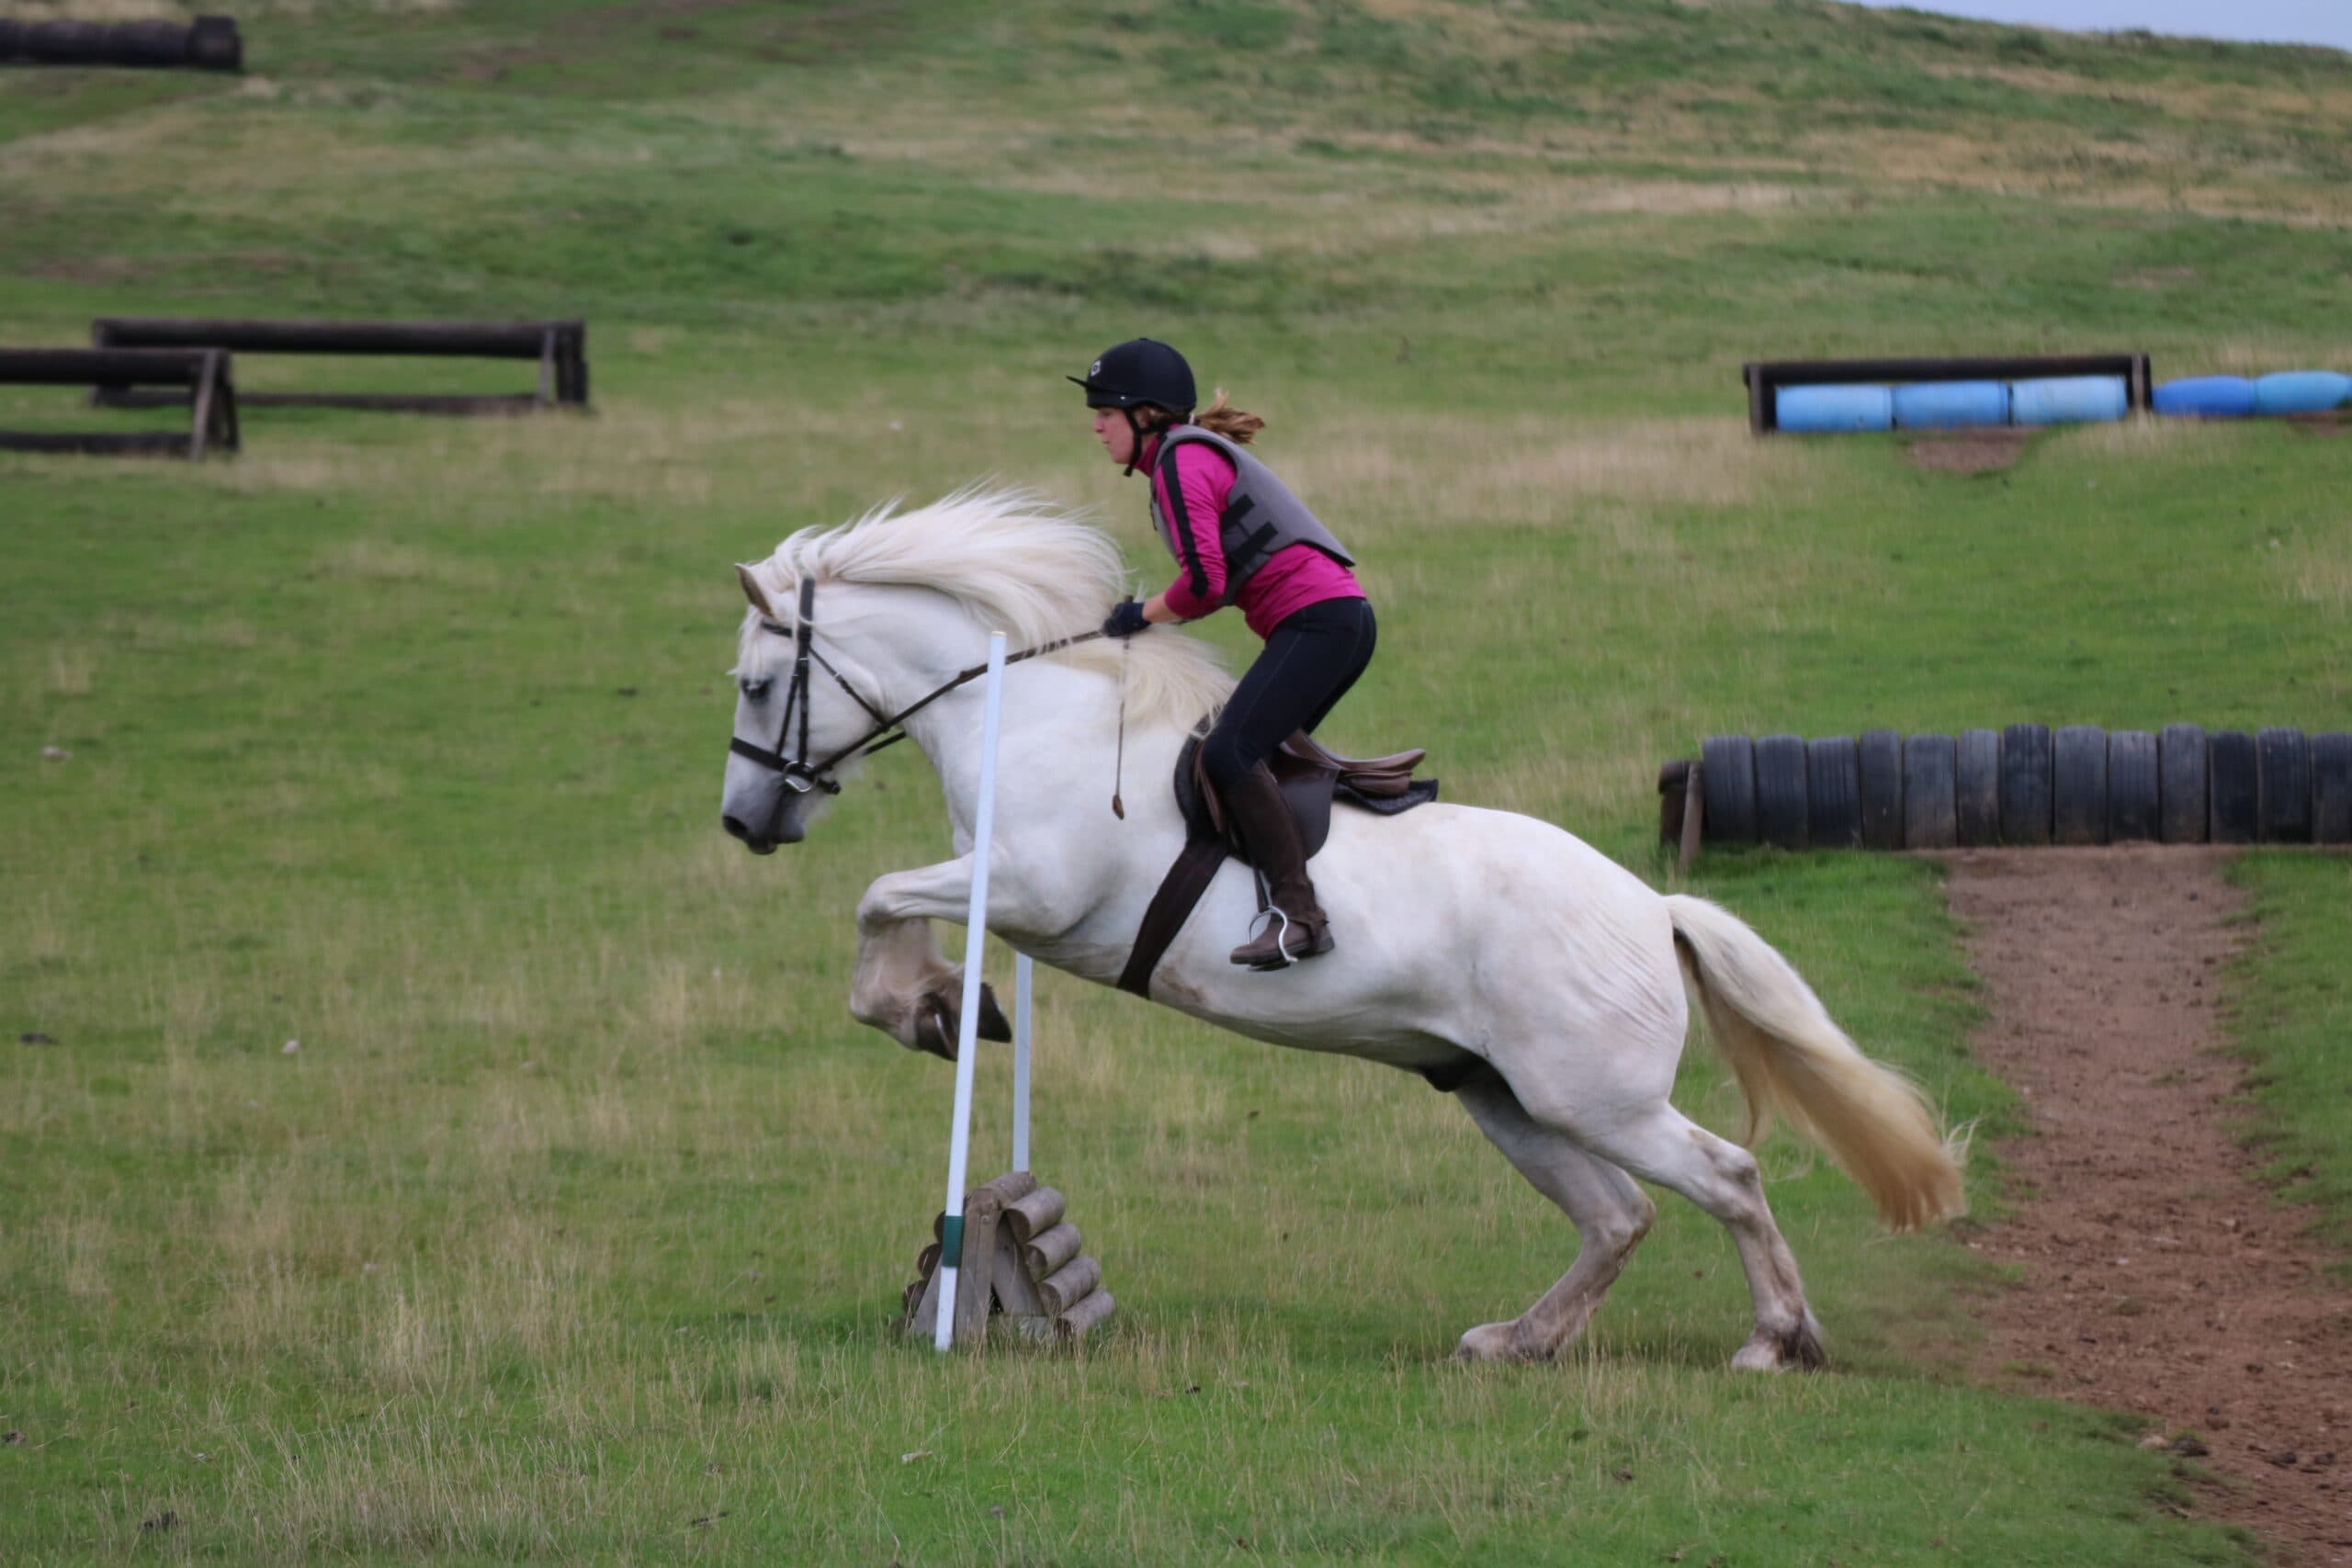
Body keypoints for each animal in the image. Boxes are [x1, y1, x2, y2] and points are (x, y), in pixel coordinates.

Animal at [718, 488, 1964, 1369]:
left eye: (754, 684)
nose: (744, 822)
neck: (1020, 705)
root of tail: (1651, 909)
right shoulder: (1009, 895)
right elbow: (891, 902)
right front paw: (944, 1003)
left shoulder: (1031, 890)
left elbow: (880, 894)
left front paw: (927, 1006)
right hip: (1501, 1093)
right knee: (1616, 1217)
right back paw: (1518, 1341)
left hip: (1593, 1095)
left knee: (1726, 1178)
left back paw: (1774, 1339)